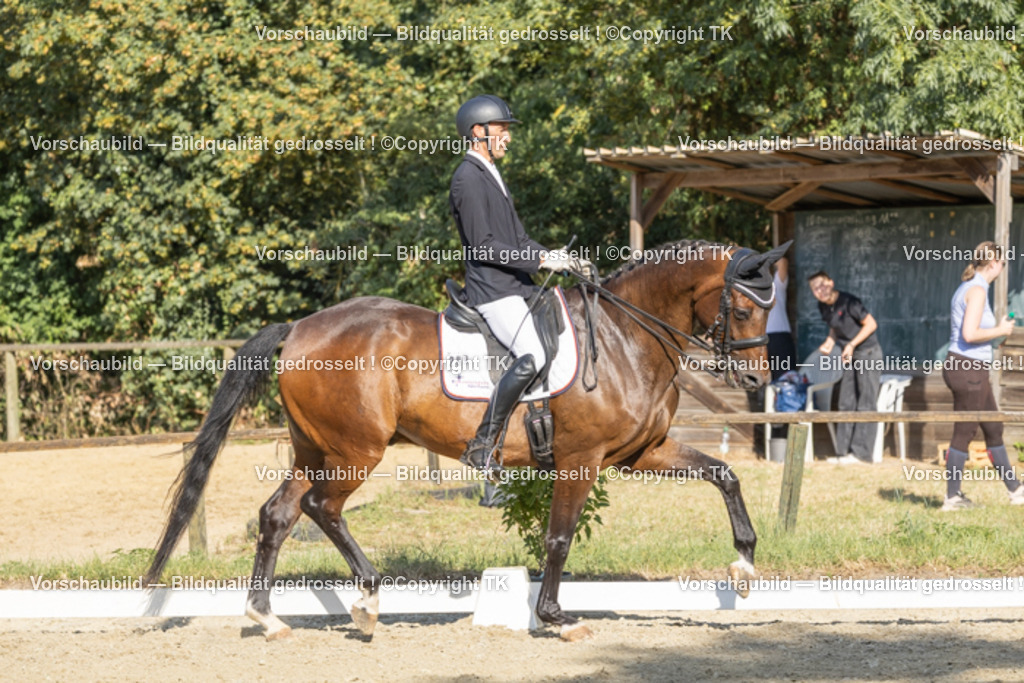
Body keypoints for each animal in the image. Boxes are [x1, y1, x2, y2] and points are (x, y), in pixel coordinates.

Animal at [144, 239, 789, 641]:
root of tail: (301, 326)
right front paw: (556, 617)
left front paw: (744, 568)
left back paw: (268, 618)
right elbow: (558, 539)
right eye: (742, 310)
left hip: (314, 447)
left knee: (278, 514)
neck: (624, 336)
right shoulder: (580, 460)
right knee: (320, 507)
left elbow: (724, 473)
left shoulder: (639, 453)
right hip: (356, 451)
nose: (757, 381)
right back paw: (368, 601)